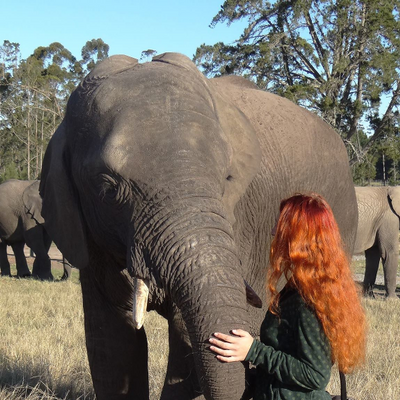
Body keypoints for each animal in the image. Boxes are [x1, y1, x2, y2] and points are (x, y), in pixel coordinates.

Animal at [39, 53, 358, 400]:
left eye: (227, 177)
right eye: (108, 189)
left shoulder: (242, 222)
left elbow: (186, 344)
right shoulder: (90, 235)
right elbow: (111, 343)